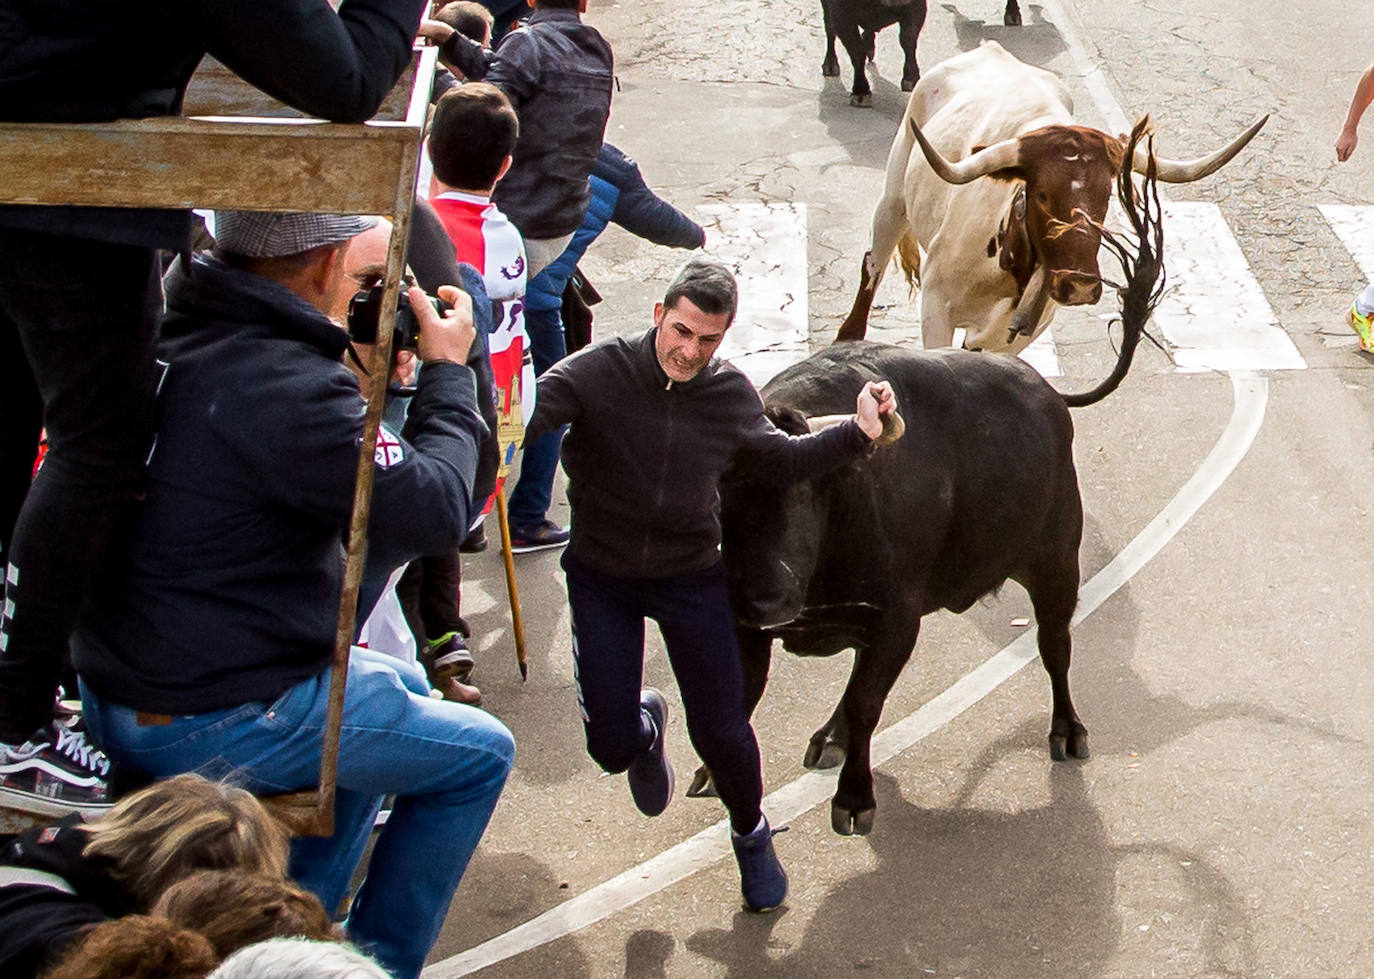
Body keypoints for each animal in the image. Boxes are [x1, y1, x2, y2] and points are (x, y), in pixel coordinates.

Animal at [714, 341, 1088, 834]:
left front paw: (854, 798)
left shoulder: (897, 621)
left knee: (1055, 647)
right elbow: (743, 697)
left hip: (1056, 566)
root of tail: (1049, 398)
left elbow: (866, 704)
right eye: (721, 497)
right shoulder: (741, 627)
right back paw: (832, 736)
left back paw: (1068, 730)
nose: (766, 602)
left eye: (803, 491)